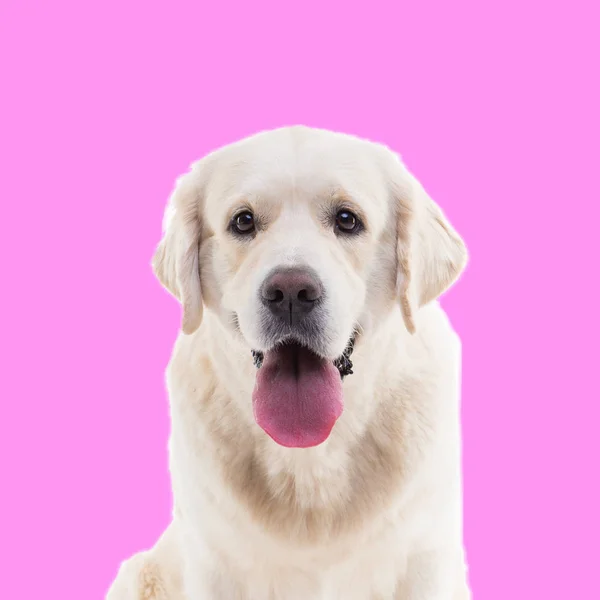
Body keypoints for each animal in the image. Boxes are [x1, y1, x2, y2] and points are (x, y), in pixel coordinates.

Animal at [109, 124, 474, 596]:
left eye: (347, 219)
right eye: (243, 221)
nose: (290, 292)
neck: (311, 454)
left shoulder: (425, 554)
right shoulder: (212, 560)